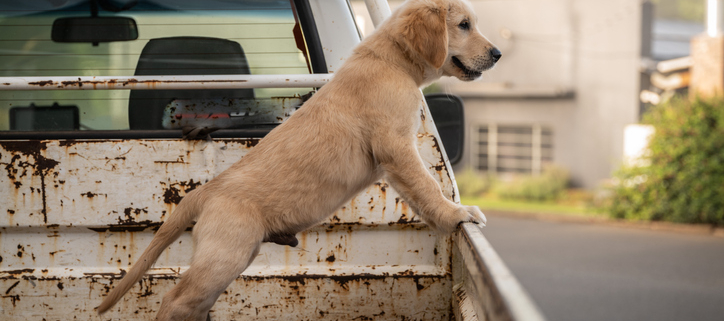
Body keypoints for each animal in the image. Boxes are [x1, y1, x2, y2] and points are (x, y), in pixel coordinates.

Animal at [99, 0, 500, 318]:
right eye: (464, 25)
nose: (497, 54)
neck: (392, 62)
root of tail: (204, 191)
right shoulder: (396, 148)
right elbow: (427, 187)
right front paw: (457, 214)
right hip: (224, 256)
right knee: (175, 300)